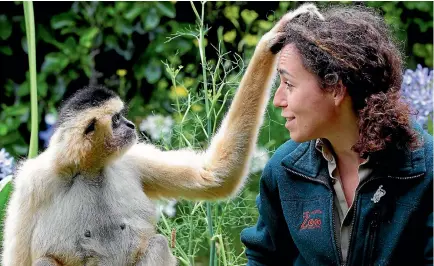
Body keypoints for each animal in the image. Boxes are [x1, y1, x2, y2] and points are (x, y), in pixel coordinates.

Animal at [0, 4, 318, 266]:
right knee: (45, 262)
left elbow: (214, 175)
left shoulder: (133, 158)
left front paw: (271, 41)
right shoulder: (32, 183)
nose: (130, 125)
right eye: (116, 119)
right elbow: (18, 258)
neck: (89, 168)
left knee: (157, 242)